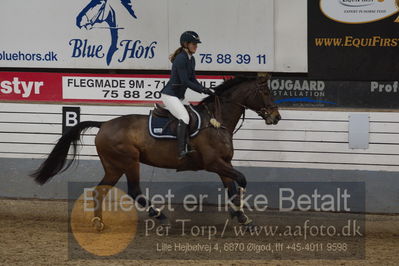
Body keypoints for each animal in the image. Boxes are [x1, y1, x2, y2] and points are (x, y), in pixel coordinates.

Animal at [31, 75, 282, 231]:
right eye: (265, 91)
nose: (276, 117)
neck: (217, 121)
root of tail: (104, 124)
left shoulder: (223, 163)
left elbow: (231, 188)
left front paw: (241, 217)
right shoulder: (214, 163)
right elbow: (241, 181)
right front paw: (241, 215)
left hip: (114, 166)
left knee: (100, 191)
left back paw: (98, 223)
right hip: (129, 162)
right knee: (134, 191)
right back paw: (160, 217)